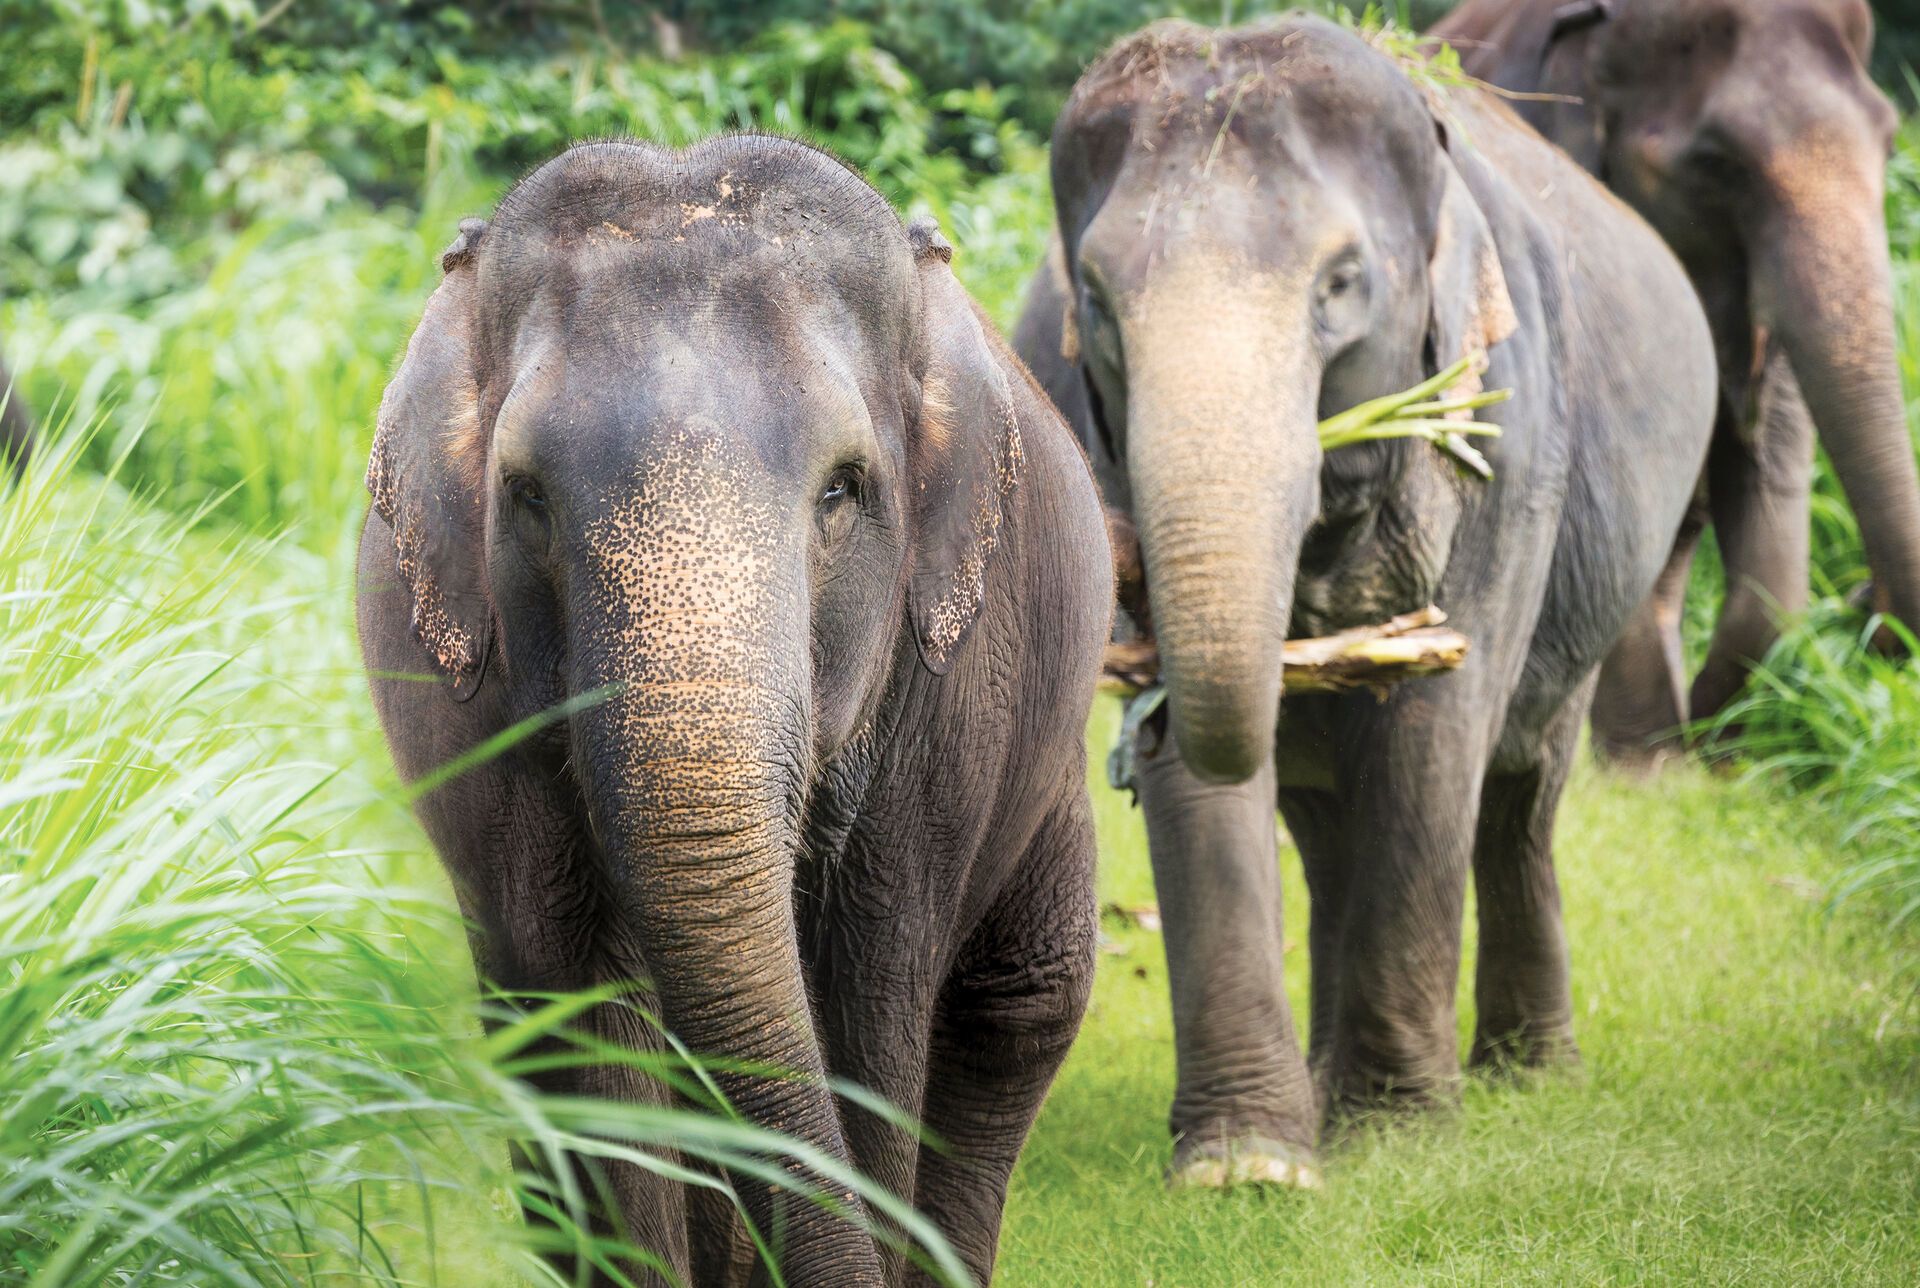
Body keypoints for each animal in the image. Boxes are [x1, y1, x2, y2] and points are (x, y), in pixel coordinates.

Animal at [355, 136, 1121, 1282]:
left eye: (842, 489)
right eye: (527, 497)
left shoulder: (952, 701)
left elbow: (868, 1010)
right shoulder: (461, 702)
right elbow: (583, 1011)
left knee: (1019, 1006)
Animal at [1013, 17, 1720, 1190]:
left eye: (1341, 283)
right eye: (1100, 302)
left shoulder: (1505, 436)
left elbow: (1432, 739)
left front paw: (1397, 1136)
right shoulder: (1083, 423)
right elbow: (1204, 768)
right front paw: (1251, 1167)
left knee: (1519, 793)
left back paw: (1527, 1075)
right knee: (1331, 830)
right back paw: (1325, 1082)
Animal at [1443, 0, 1920, 756]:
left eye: (1889, 144)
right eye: (1716, 163)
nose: (1862, 601)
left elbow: (1768, 486)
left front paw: (1706, 750)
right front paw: (1649, 762)